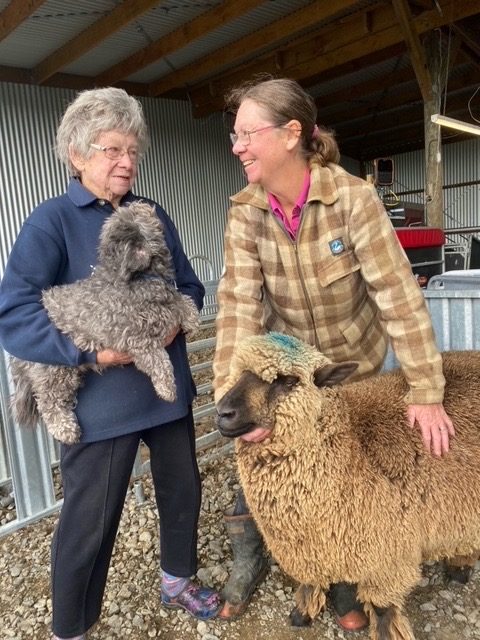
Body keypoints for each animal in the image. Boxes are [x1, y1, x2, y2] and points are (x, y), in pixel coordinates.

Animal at [9, 202, 201, 442]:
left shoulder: (167, 300)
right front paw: (166, 388)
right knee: (49, 402)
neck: (140, 278)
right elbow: (159, 361)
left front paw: (192, 319)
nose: (143, 204)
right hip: (54, 370)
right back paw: (65, 429)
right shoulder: (136, 338)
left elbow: (181, 299)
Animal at [216, 332, 480, 636]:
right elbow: (311, 581)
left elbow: (382, 609)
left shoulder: (387, 556)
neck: (350, 448)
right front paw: (302, 613)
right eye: (240, 374)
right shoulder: (310, 546)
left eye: (288, 381)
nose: (222, 413)